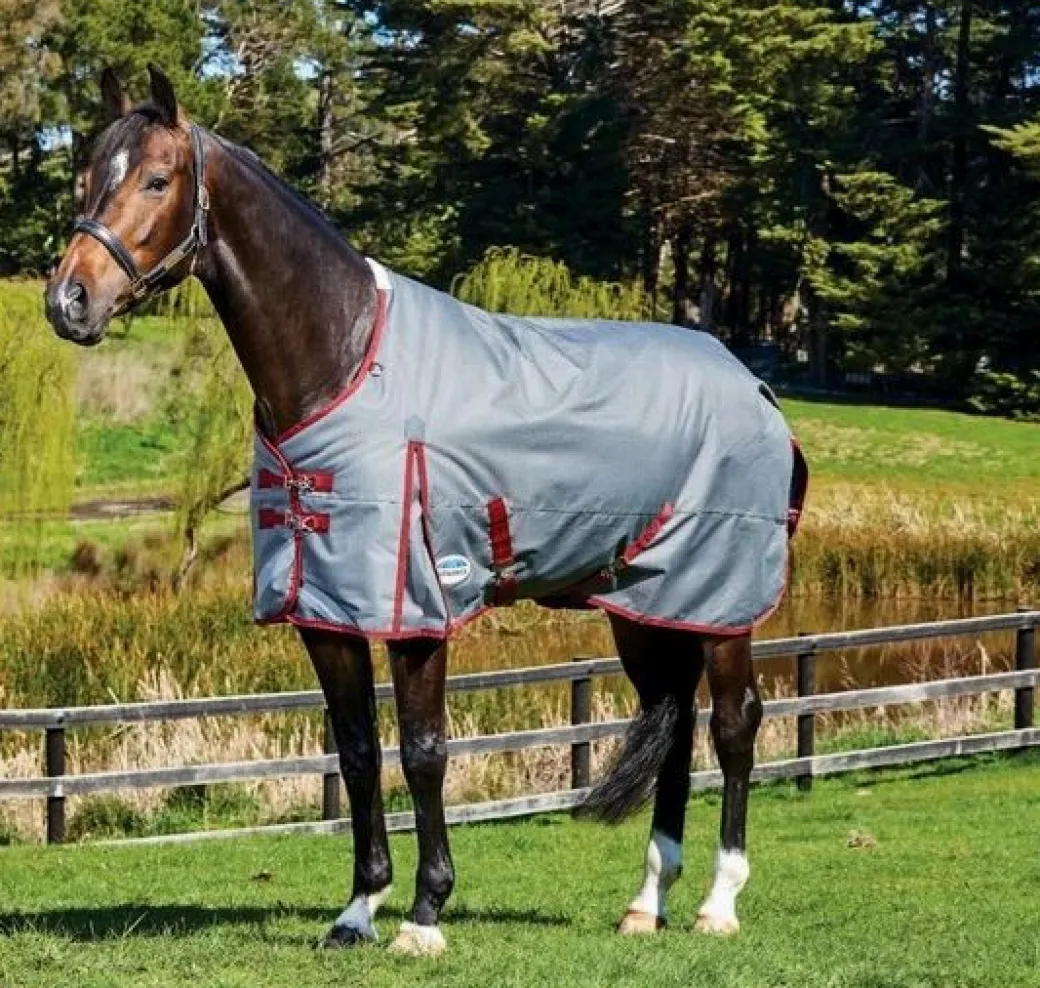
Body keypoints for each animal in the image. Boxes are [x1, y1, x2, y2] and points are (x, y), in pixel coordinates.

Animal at [45, 66, 808, 956]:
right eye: (85, 176)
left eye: (158, 179)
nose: (69, 301)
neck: (343, 360)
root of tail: (756, 388)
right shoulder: (327, 611)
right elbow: (356, 751)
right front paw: (356, 911)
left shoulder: (418, 608)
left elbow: (423, 751)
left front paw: (424, 912)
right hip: (647, 605)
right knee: (677, 723)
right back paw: (645, 904)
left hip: (721, 607)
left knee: (735, 724)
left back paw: (719, 902)